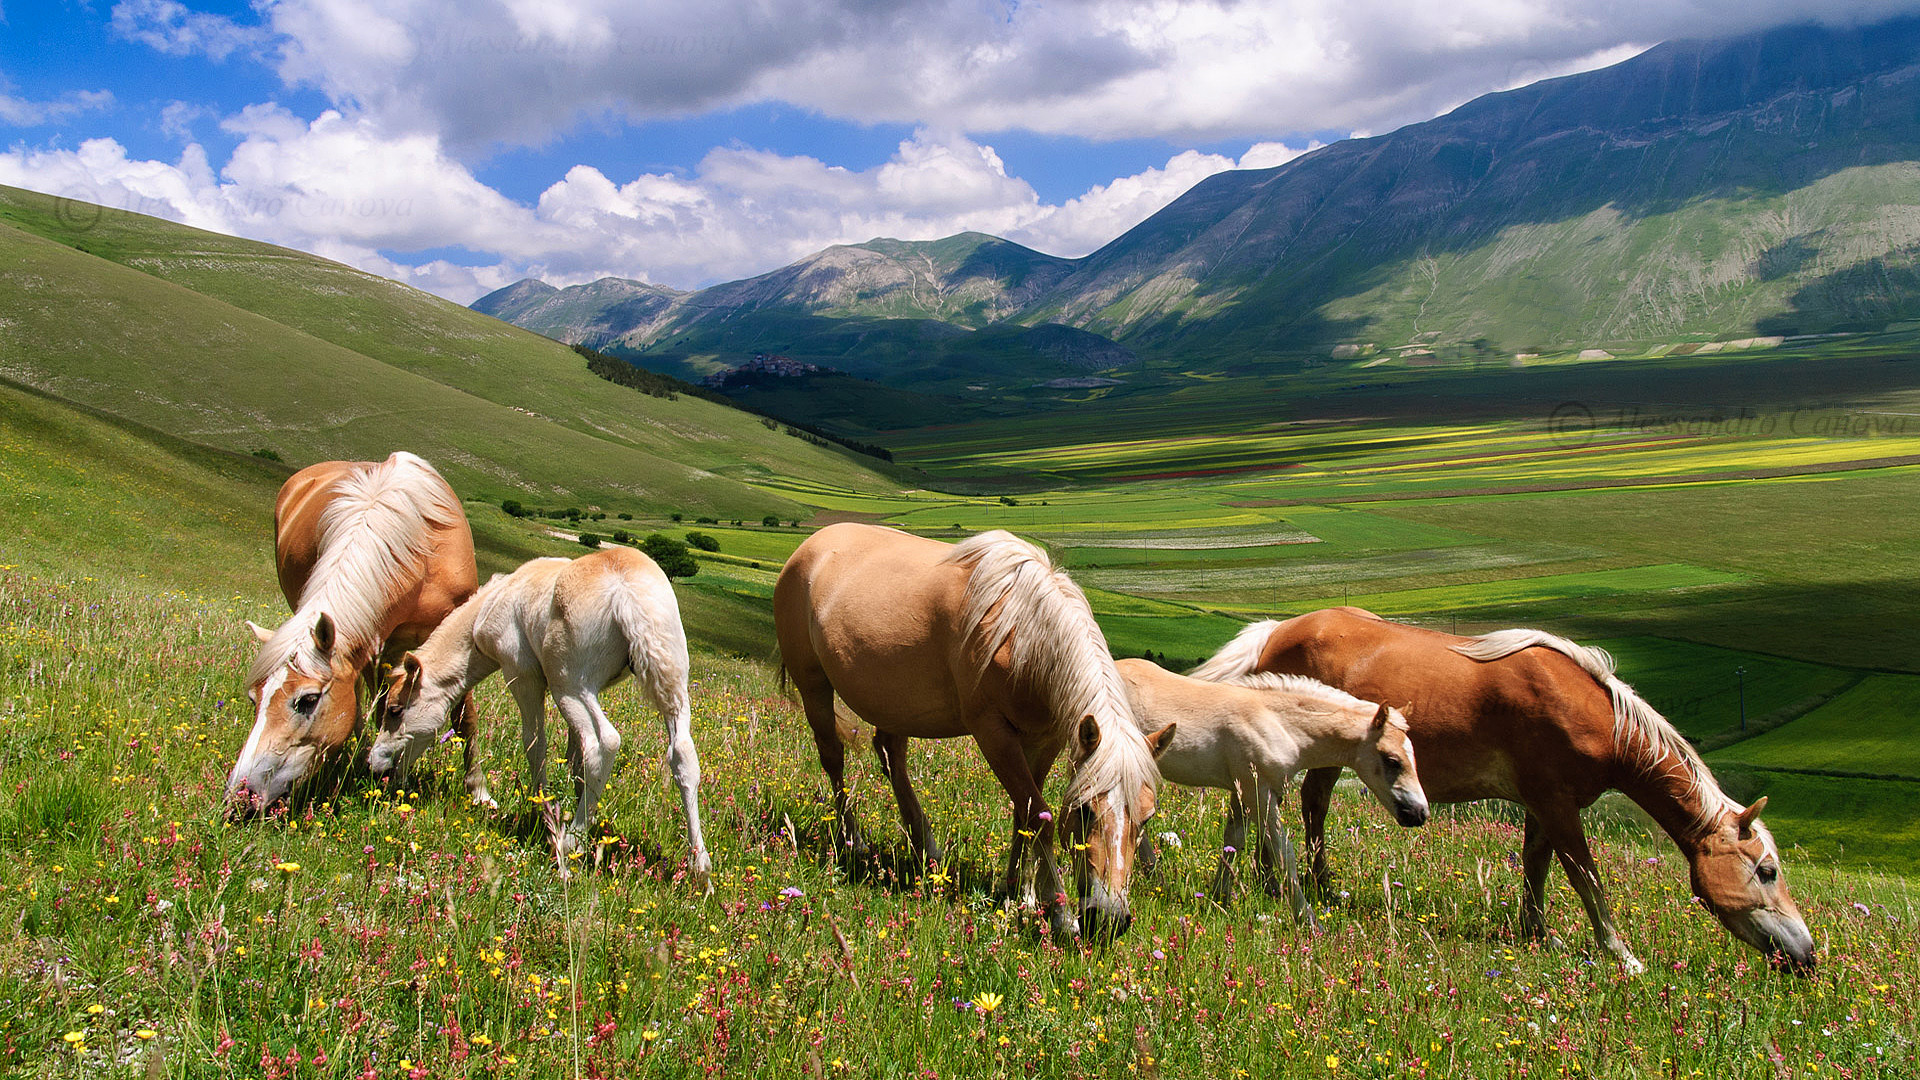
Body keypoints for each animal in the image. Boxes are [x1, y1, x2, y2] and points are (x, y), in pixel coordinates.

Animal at [226, 452, 481, 817]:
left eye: (307, 700)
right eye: (253, 700)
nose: (240, 797)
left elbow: (464, 717)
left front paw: (479, 793)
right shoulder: (377, 650)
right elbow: (384, 708)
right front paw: (388, 776)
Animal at [365, 546, 711, 888]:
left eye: (395, 710)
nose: (375, 763)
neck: (489, 607)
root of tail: (627, 591)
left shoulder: (522, 675)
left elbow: (534, 743)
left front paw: (542, 811)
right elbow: (574, 760)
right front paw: (577, 806)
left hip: (569, 685)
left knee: (605, 742)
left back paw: (569, 843)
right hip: (671, 682)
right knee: (682, 753)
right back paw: (701, 871)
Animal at [774, 523, 1172, 941]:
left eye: (1146, 819)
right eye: (1084, 812)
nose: (1110, 918)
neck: (1022, 632)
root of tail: (811, 545)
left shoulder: (1045, 740)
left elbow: (1026, 815)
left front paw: (1020, 893)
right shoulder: (993, 734)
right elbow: (1038, 818)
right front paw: (1060, 912)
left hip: (895, 706)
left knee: (891, 758)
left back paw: (926, 848)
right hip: (813, 687)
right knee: (833, 759)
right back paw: (855, 842)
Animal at [1113, 658, 1427, 926]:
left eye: (1413, 756)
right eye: (1392, 760)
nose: (1419, 813)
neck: (1279, 722)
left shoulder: (1243, 791)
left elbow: (1233, 842)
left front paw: (1219, 897)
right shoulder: (1261, 792)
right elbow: (1284, 853)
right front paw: (1307, 918)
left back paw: (1156, 877)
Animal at [1190, 607, 1816, 974]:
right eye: (1766, 871)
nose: (1807, 956)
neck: (1592, 715)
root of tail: (1276, 630)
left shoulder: (1544, 805)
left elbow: (1536, 865)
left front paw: (1538, 934)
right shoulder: (1558, 805)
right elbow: (1586, 877)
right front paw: (1622, 956)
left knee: (1307, 806)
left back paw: (1300, 885)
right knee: (1285, 806)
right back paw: (1286, 885)